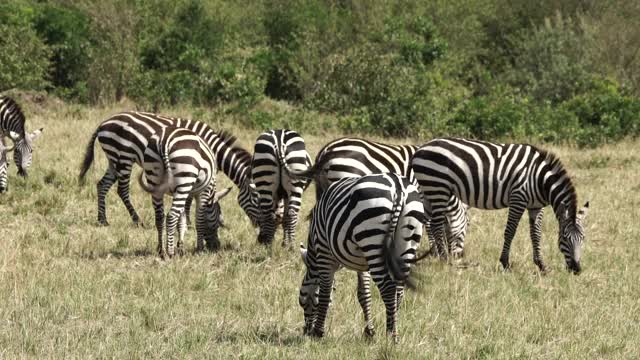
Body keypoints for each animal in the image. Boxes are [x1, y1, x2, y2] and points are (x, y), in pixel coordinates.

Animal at [79, 110, 258, 228]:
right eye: (257, 199)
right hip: (124, 157)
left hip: (113, 158)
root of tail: (103, 123)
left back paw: (103, 220)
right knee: (122, 190)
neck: (212, 148)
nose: (257, 225)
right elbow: (189, 198)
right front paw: (189, 222)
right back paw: (137, 220)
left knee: (102, 185)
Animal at [136, 125, 231, 258]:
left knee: (160, 217)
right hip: (184, 178)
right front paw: (199, 248)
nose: (216, 246)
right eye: (218, 222)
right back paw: (170, 252)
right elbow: (199, 219)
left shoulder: (185, 193)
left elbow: (182, 219)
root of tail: (164, 140)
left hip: (155, 178)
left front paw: (180, 247)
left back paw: (161, 250)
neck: (212, 191)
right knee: (171, 216)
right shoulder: (203, 192)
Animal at [280, 136, 470, 258]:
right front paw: (435, 251)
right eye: (468, 225)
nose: (460, 256)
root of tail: (327, 150)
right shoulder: (423, 195)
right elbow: (428, 224)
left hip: (323, 187)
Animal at [298, 173, 424, 342]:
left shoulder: (324, 251)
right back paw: (394, 327)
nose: (306, 332)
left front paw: (319, 332)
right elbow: (364, 294)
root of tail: (398, 187)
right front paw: (369, 332)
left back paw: (391, 335)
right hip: (406, 241)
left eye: (303, 301)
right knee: (399, 290)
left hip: (371, 238)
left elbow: (325, 291)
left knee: (388, 288)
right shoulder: (363, 263)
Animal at [412, 138, 588, 272]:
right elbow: (510, 231)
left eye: (583, 238)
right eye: (564, 238)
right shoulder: (518, 198)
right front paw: (505, 263)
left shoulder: (535, 206)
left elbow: (536, 235)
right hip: (438, 188)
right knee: (436, 225)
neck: (540, 179)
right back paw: (444, 260)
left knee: (427, 222)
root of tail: (419, 150)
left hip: (430, 191)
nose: (577, 269)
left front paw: (541, 265)